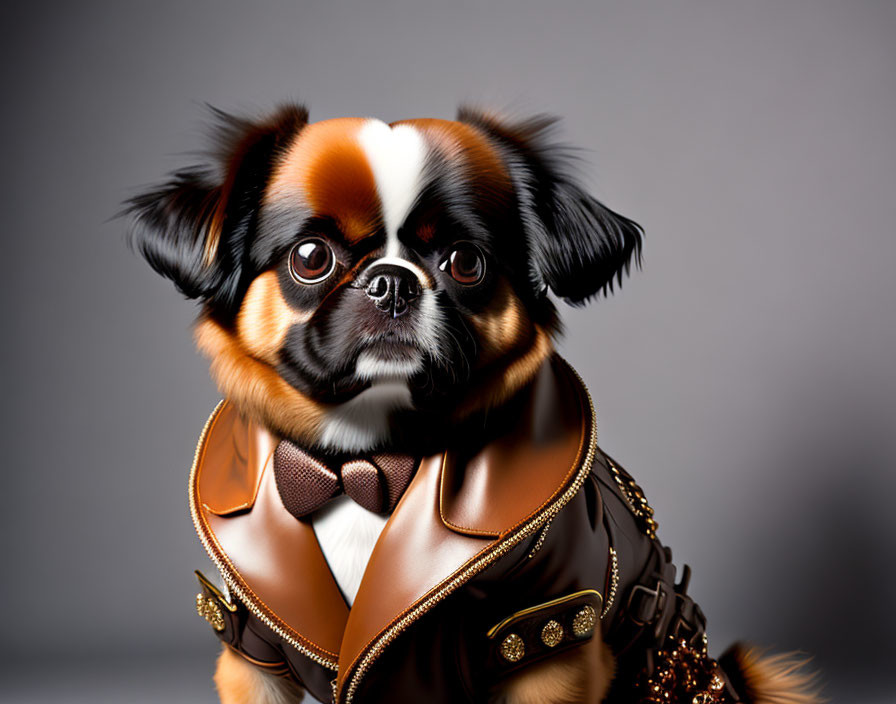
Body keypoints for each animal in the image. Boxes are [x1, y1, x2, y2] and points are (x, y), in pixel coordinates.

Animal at [126, 104, 820, 704]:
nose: (392, 282)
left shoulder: (546, 640)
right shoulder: (250, 650)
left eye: (465, 262)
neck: (365, 461)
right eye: (311, 257)